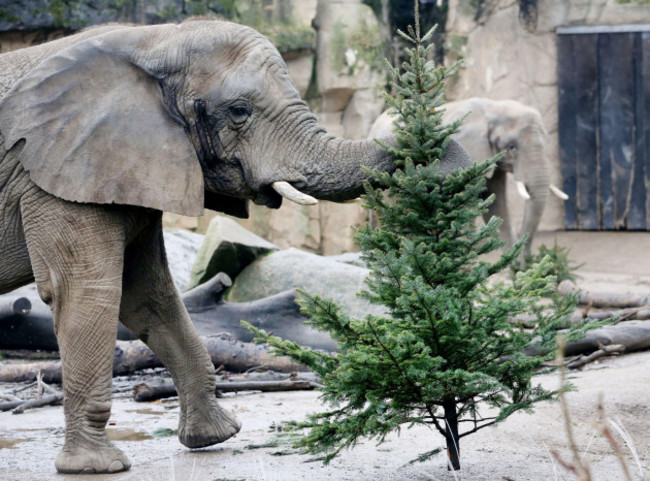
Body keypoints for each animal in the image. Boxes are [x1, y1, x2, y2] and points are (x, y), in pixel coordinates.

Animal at [0, 18, 468, 472]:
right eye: (239, 112)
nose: (430, 156)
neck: (155, 39)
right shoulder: (54, 175)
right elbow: (89, 292)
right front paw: (98, 466)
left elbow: (148, 295)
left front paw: (215, 437)